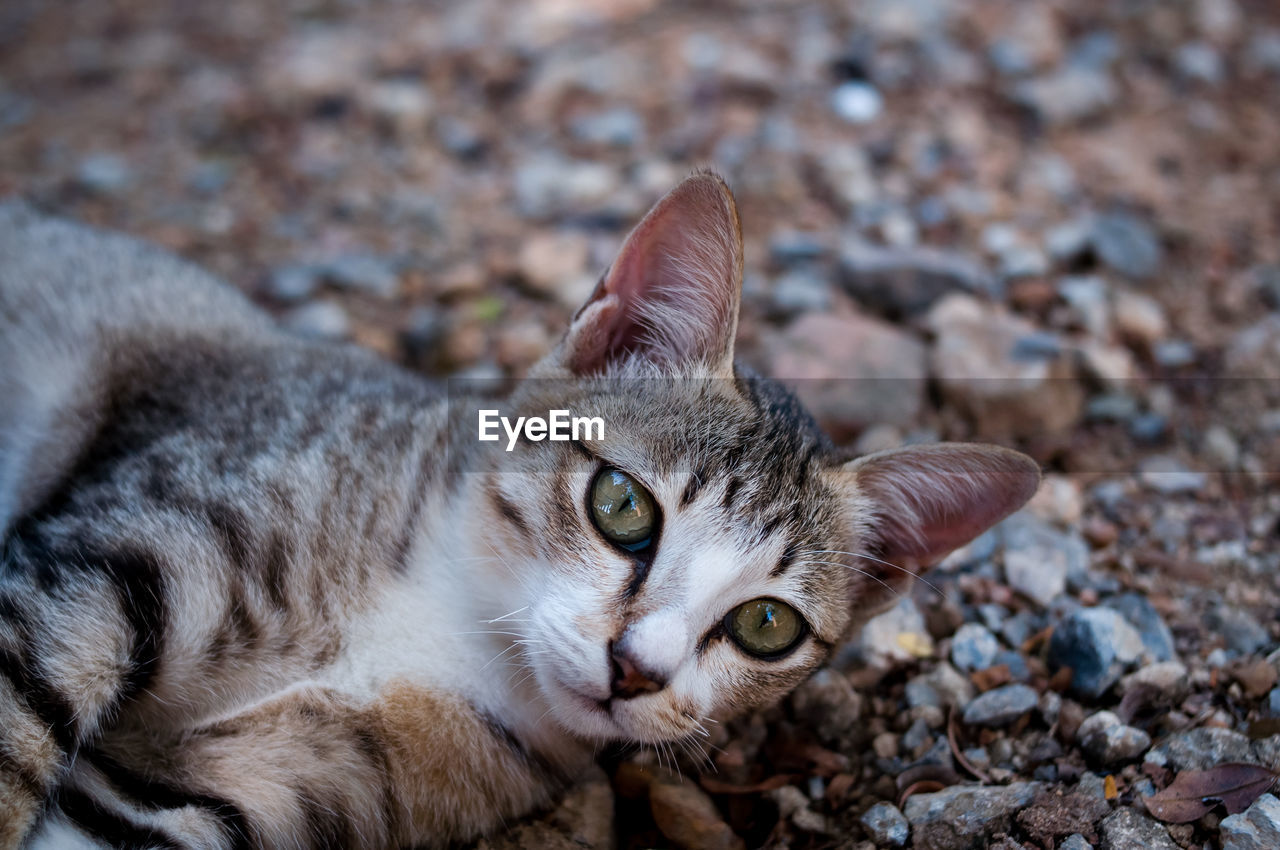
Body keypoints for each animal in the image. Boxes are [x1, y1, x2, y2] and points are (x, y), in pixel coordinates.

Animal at [0, 172, 1039, 850]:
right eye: (622, 505)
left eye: (767, 626)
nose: (637, 669)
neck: (455, 626)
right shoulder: (102, 568)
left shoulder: (210, 794)